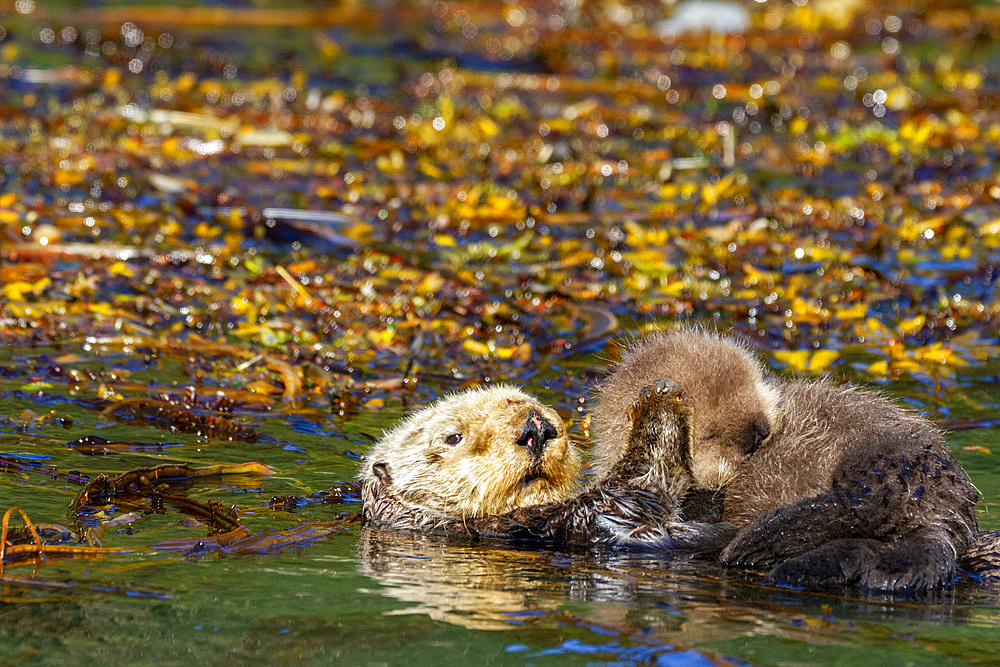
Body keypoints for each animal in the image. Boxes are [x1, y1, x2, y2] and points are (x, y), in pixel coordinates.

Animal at [360, 380, 728, 552]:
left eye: (530, 402)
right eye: (453, 436)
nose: (535, 428)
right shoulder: (581, 517)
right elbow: (642, 481)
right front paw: (658, 399)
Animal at [588, 330, 988, 596]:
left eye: (753, 390)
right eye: (709, 434)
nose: (758, 433)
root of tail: (940, 512)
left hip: (882, 459)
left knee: (856, 505)